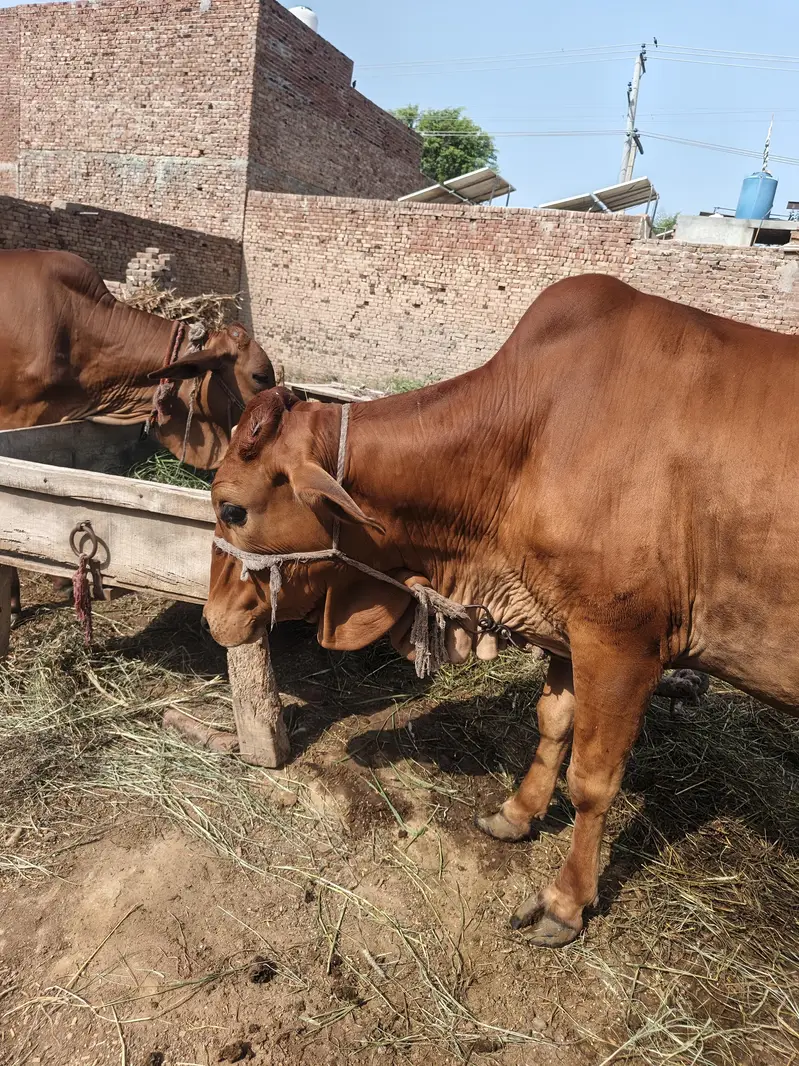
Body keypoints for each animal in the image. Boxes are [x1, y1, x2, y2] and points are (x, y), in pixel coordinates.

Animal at [202, 273, 799, 947]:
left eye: (232, 508)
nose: (213, 618)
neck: (526, 444)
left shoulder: (621, 645)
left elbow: (592, 779)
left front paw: (565, 902)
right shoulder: (566, 629)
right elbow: (552, 723)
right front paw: (517, 813)